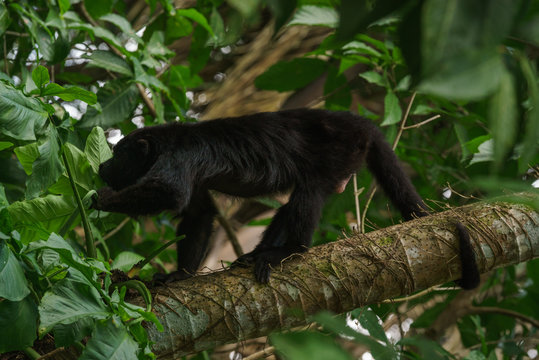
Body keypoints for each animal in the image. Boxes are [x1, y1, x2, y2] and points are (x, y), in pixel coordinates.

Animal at [94, 108, 480, 288]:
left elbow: (171, 193)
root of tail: (359, 123)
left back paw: (291, 250)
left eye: (119, 153)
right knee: (289, 204)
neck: (163, 142)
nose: (101, 165)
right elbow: (199, 214)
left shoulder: (179, 156)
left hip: (341, 151)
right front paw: (180, 275)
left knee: (309, 191)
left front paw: (100, 200)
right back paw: (256, 254)